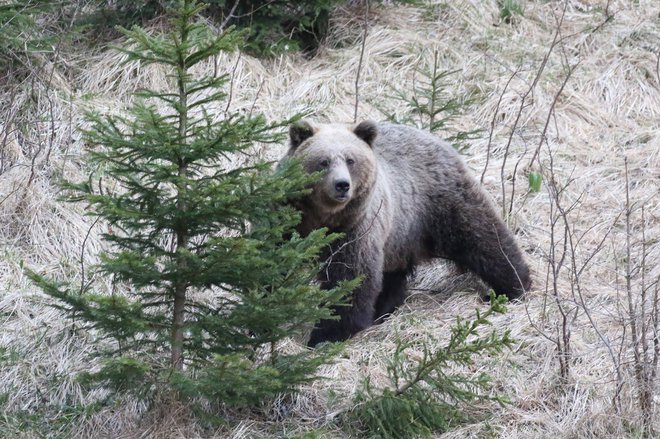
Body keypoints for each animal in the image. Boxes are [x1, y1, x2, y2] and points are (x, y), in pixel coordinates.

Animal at [282, 120, 532, 348]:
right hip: (400, 233)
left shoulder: (356, 229)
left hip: (441, 203)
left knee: (483, 239)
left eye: (351, 160)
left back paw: (512, 286)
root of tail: (436, 138)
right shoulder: (289, 220)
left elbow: (350, 278)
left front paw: (326, 335)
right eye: (323, 161)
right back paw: (382, 310)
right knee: (392, 275)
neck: (325, 219)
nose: (342, 185)